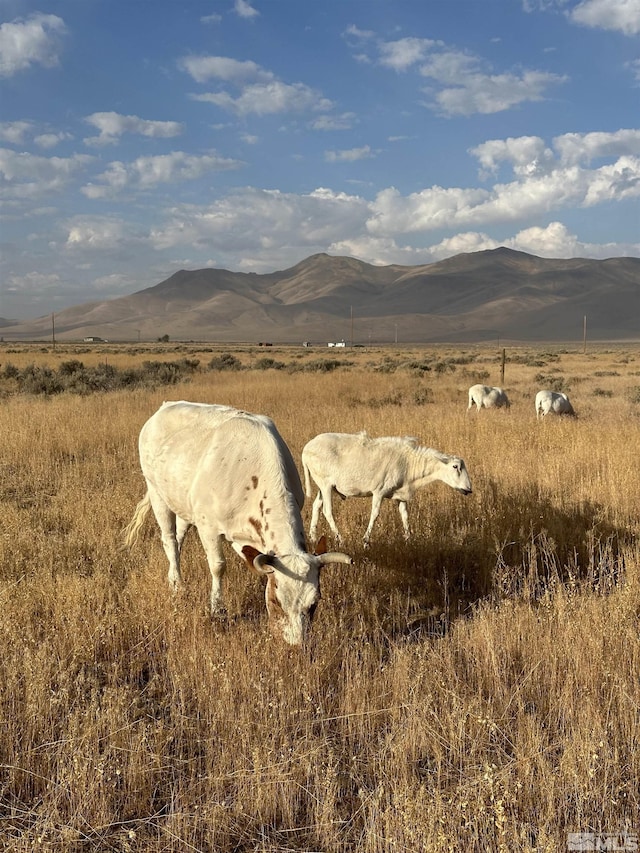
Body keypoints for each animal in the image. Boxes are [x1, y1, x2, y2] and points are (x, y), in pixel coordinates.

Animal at [122, 402, 352, 644]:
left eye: (314, 603)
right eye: (277, 601)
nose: (296, 644)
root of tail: (164, 407)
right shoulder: (208, 527)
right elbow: (218, 566)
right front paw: (217, 609)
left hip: (183, 504)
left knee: (179, 537)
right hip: (157, 493)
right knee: (169, 540)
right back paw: (176, 584)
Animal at [302, 432, 472, 544]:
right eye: (455, 467)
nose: (469, 489)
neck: (409, 464)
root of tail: (306, 449)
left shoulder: (400, 494)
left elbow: (404, 515)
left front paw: (409, 539)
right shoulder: (379, 491)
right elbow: (375, 514)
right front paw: (365, 540)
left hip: (322, 485)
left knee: (316, 506)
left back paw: (313, 537)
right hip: (325, 484)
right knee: (327, 511)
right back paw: (340, 539)